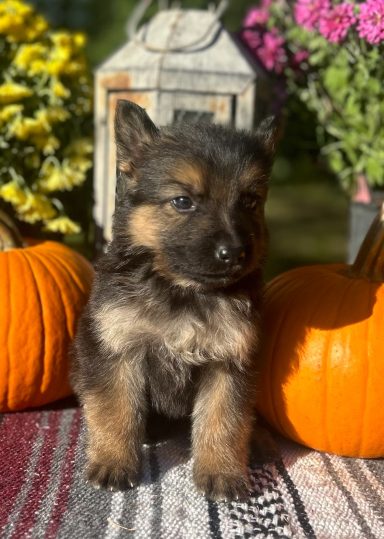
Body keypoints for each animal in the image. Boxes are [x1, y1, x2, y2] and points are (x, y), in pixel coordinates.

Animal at [71, 100, 276, 502]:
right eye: (183, 202)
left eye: (249, 202)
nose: (234, 253)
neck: (182, 290)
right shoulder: (115, 348)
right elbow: (114, 409)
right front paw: (114, 461)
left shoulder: (229, 361)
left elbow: (224, 420)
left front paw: (221, 471)